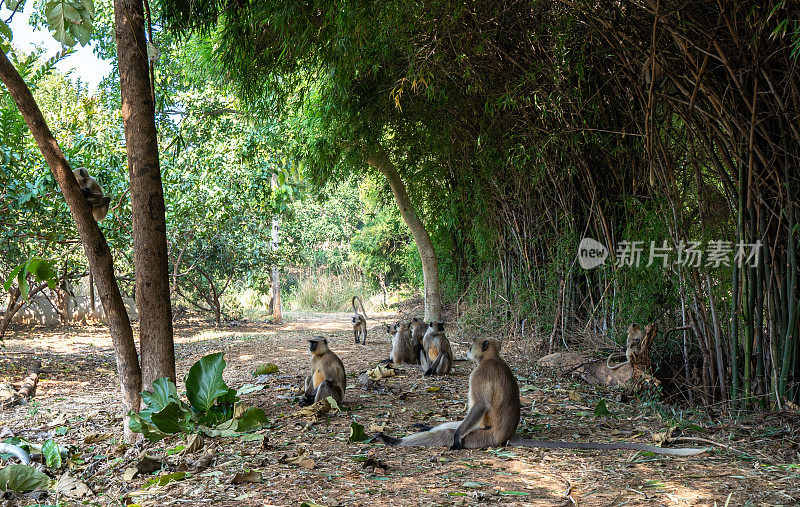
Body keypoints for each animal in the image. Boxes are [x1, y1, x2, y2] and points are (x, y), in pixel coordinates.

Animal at [378, 338, 520, 448]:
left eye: (473, 344)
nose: (469, 348)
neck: (490, 358)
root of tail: (507, 436)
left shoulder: (479, 374)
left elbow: (481, 405)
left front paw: (457, 437)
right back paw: (426, 427)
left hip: (485, 436)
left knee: (446, 434)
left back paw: (392, 440)